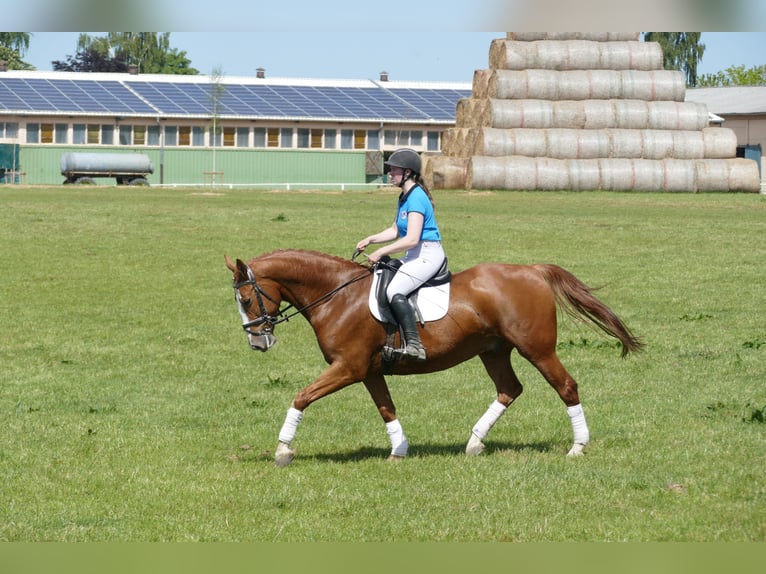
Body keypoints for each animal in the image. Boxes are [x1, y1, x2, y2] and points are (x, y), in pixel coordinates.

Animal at [225, 249, 643, 467]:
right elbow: (387, 409)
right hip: (493, 350)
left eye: (245, 299)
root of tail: (533, 271)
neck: (337, 295)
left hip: (537, 349)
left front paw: (283, 450)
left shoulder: (347, 367)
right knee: (509, 389)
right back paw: (474, 443)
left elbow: (301, 397)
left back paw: (578, 446)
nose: (258, 343)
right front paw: (399, 450)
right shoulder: (368, 371)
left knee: (566, 386)